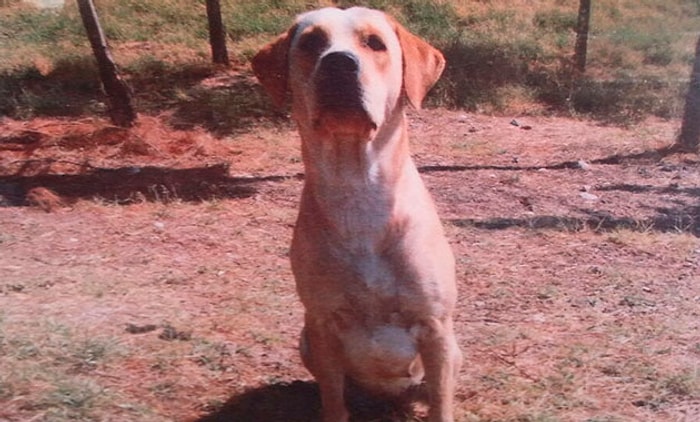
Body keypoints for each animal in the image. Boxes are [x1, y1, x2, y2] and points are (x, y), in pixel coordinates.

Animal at [254, 7, 462, 422]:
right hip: (305, 340)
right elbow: (334, 401)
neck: (358, 190)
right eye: (311, 42)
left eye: (375, 43)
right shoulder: (321, 325)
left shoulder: (435, 327)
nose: (338, 63)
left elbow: (441, 404)